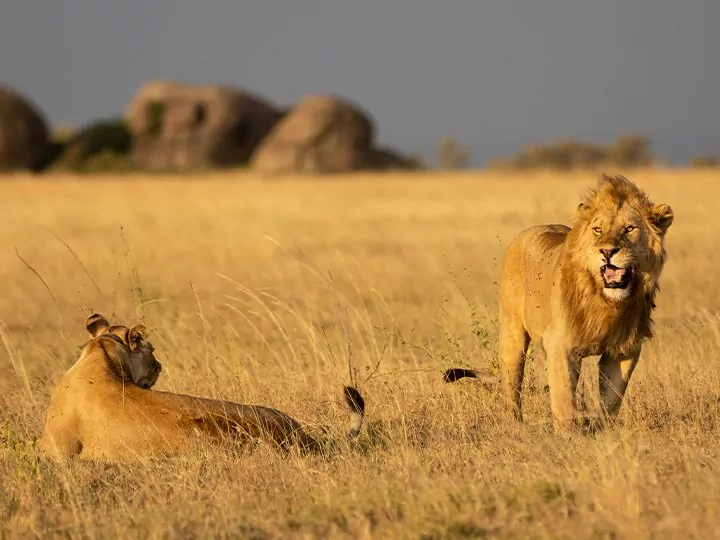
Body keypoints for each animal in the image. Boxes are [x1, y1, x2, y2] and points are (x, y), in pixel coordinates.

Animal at [444, 176, 676, 430]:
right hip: (512, 336)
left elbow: (612, 399)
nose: (607, 251)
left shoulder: (624, 350)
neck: (606, 303)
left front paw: (603, 429)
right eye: (597, 229)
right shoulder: (560, 345)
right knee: (512, 386)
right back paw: (515, 426)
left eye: (630, 229)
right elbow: (564, 399)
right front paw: (568, 434)